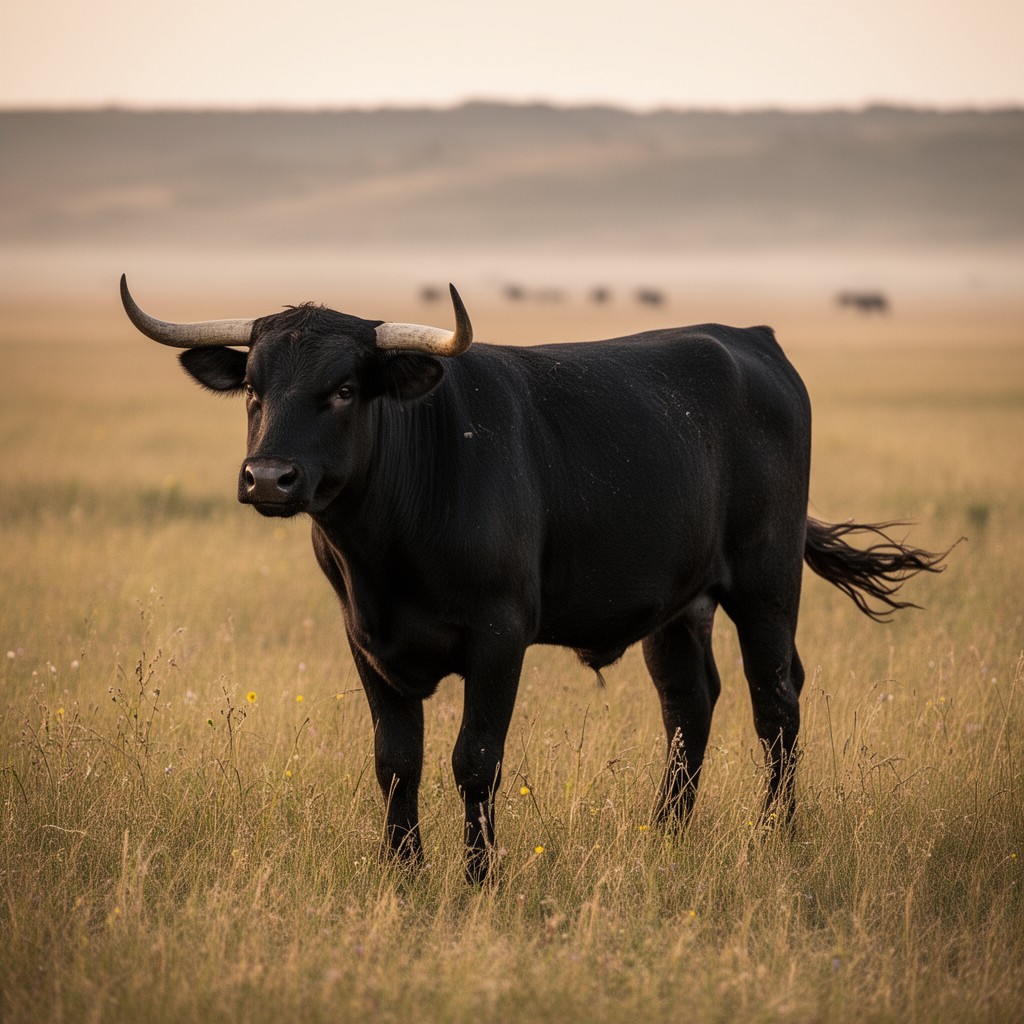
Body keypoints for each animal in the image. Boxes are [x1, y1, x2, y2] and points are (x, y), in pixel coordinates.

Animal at [120, 275, 947, 881]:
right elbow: (397, 763)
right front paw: (405, 877)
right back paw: (665, 835)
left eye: (346, 389)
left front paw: (478, 878)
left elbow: (474, 760)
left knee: (775, 703)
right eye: (253, 388)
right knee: (689, 705)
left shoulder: (499, 638)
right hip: (677, 605)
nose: (268, 478)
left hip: (766, 587)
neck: (386, 552)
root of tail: (750, 340)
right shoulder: (366, 643)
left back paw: (775, 836)